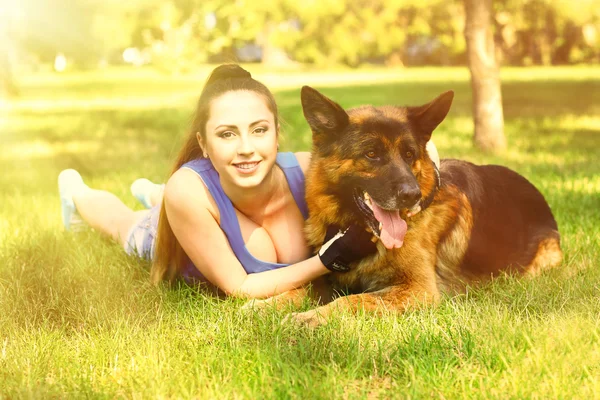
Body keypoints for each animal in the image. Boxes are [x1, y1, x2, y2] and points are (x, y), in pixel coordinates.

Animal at [246, 86, 560, 324]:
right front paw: (267, 304)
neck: (358, 232)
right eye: (371, 154)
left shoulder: (417, 289)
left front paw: (311, 317)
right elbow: (304, 286)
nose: (412, 195)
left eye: (410, 155)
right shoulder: (331, 277)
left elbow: (354, 301)